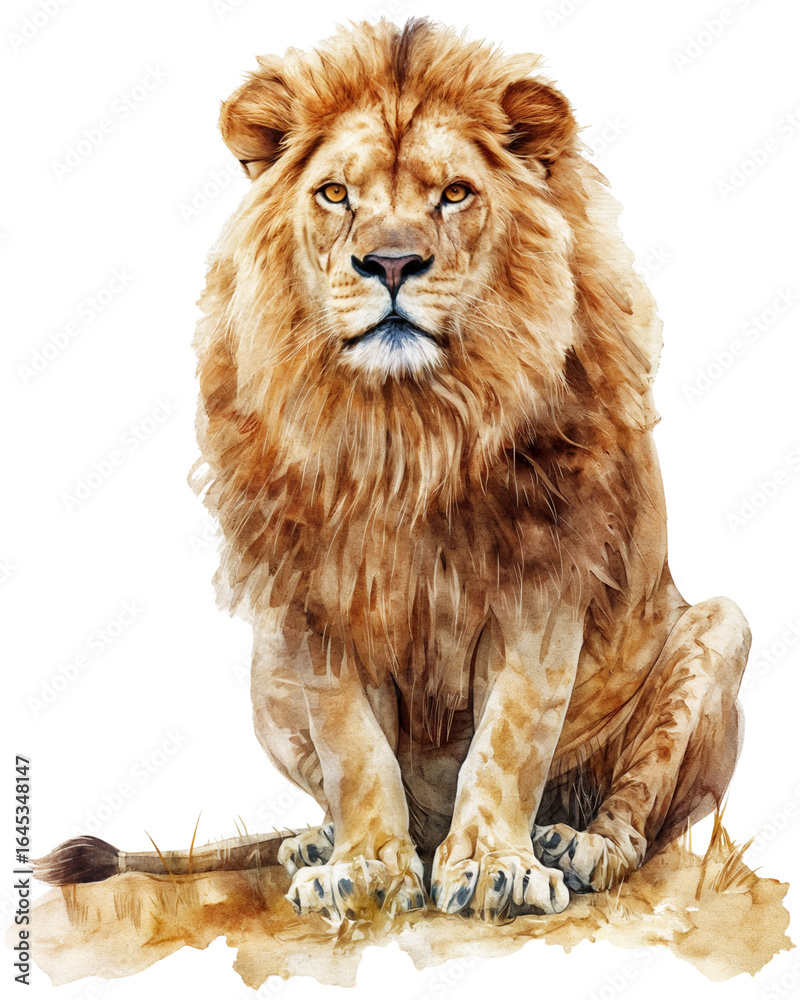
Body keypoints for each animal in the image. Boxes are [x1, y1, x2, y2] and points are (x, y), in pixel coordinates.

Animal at [36, 19, 750, 922]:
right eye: (336, 194)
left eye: (455, 194)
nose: (392, 263)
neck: (406, 427)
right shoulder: (312, 588)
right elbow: (353, 747)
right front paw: (367, 865)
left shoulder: (544, 573)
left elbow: (511, 738)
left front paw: (495, 868)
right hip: (265, 672)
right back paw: (323, 841)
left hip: (721, 628)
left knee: (640, 811)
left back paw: (577, 845)